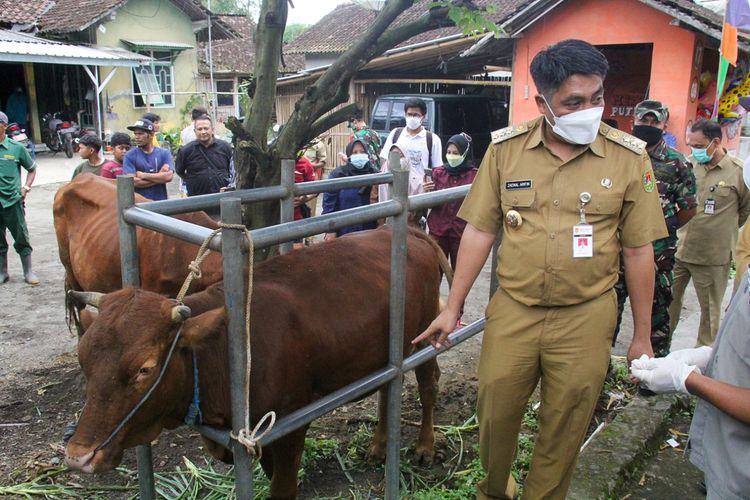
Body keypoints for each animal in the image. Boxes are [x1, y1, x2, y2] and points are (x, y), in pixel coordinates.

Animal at [64, 228, 446, 500]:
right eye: (83, 360)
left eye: (145, 368)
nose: (78, 456)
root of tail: (408, 231)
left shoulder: (289, 424)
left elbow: (282, 488)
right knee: (387, 390)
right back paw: (379, 446)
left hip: (424, 338)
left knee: (428, 387)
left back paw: (425, 447)